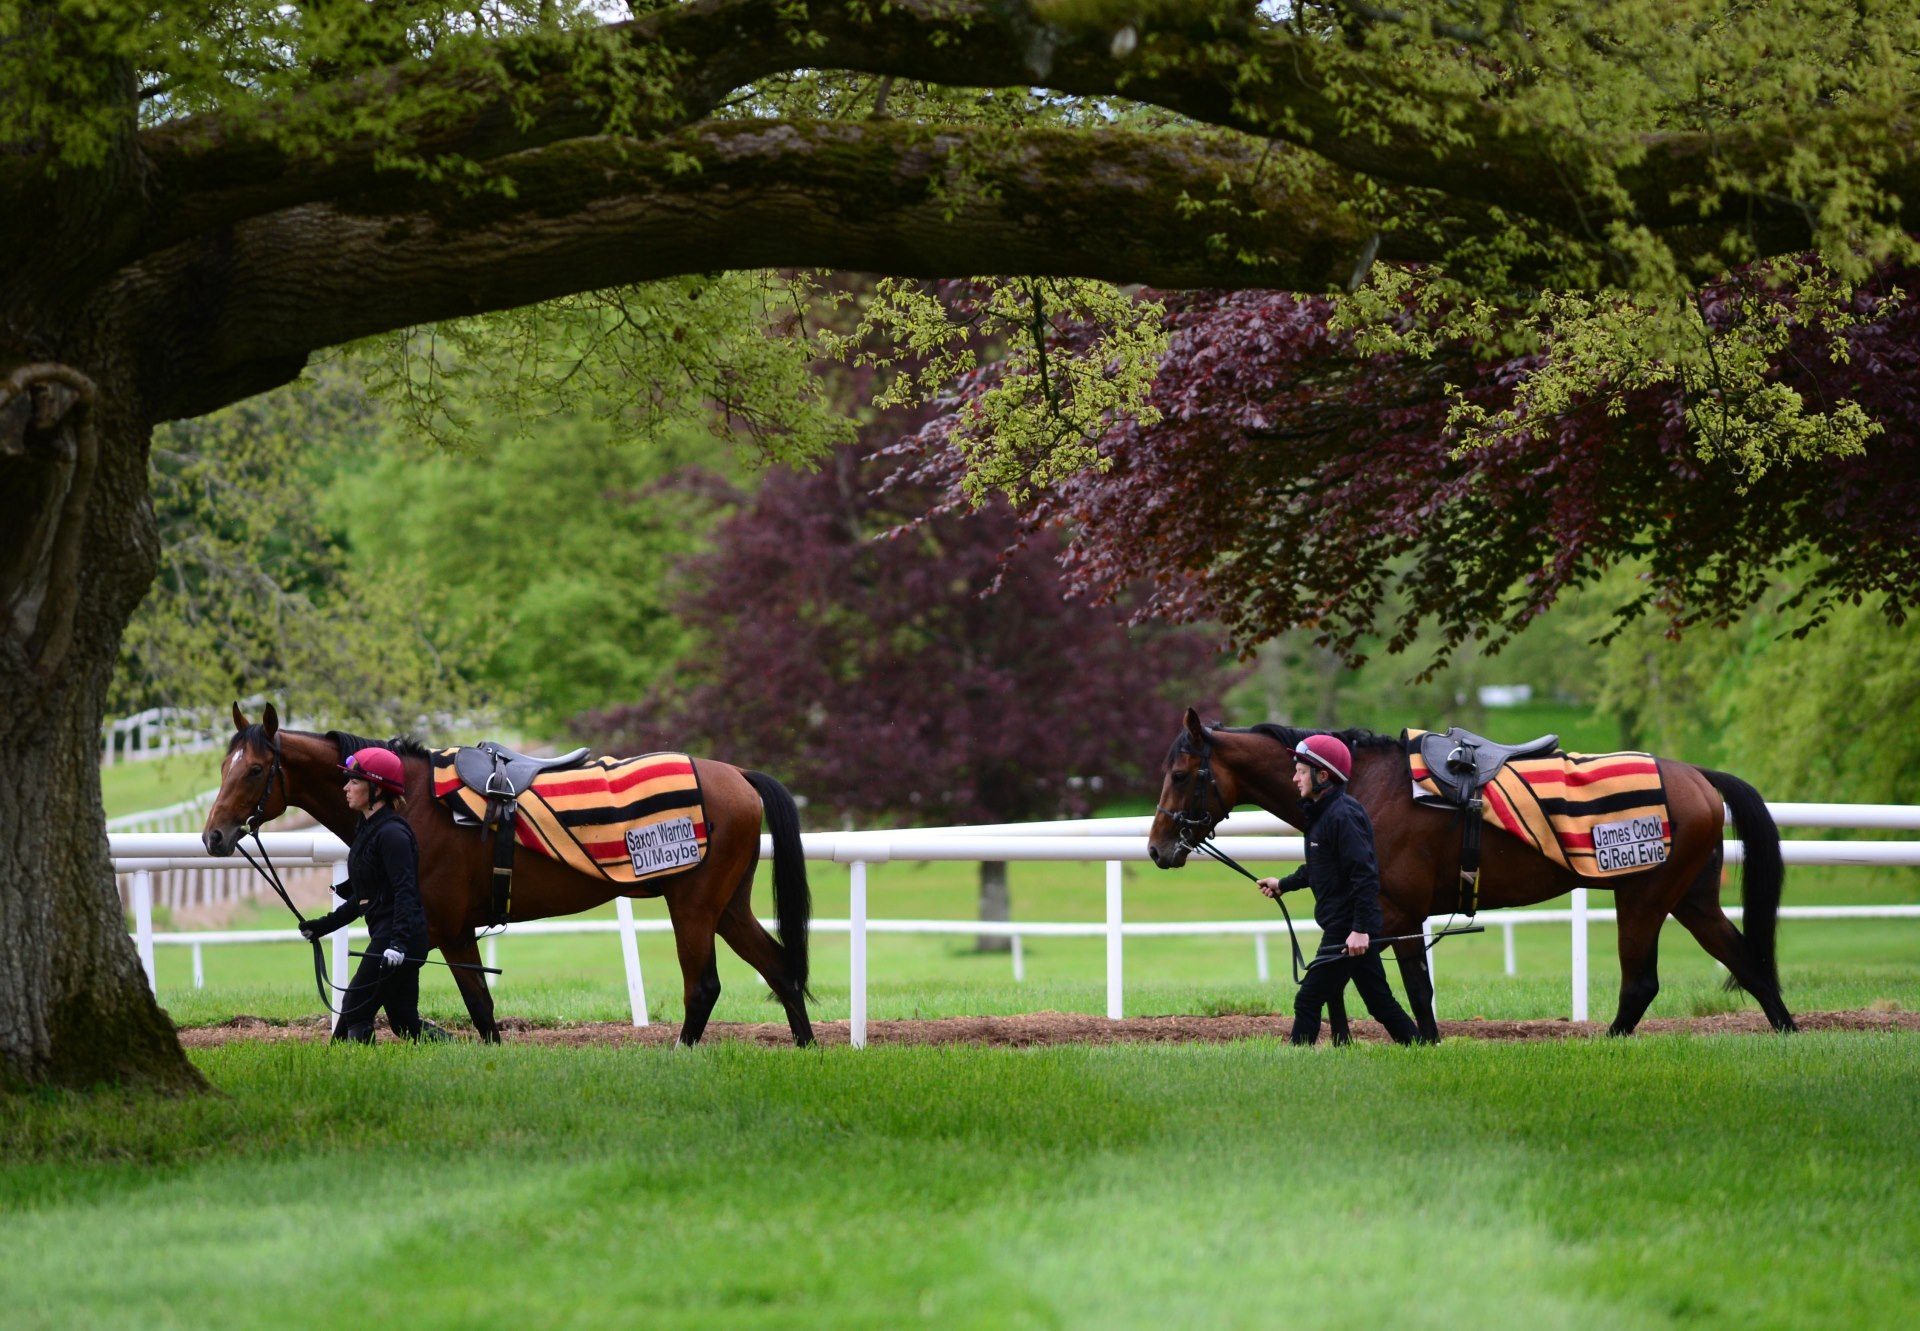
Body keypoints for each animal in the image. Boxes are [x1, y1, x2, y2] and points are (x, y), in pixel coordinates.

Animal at [198, 699, 814, 1044]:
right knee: (781, 970)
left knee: (703, 986)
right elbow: (424, 1010)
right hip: (727, 905)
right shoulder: (424, 933)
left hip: (693, 905)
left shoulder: (443, 930)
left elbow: (473, 1008)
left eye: (255, 769)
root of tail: (738, 775)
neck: (413, 804)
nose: (213, 836)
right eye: (223, 766)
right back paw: (806, 1047)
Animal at [1136, 706, 1797, 1037]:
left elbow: (1411, 991)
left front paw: (1425, 1042)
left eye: (1180, 773)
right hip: (1690, 897)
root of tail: (1699, 776)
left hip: (1643, 896)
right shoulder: (1382, 917)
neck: (1367, 787)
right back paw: (1788, 1032)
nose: (1157, 848)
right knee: (1746, 961)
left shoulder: (1397, 913)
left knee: (1642, 984)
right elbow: (1346, 979)